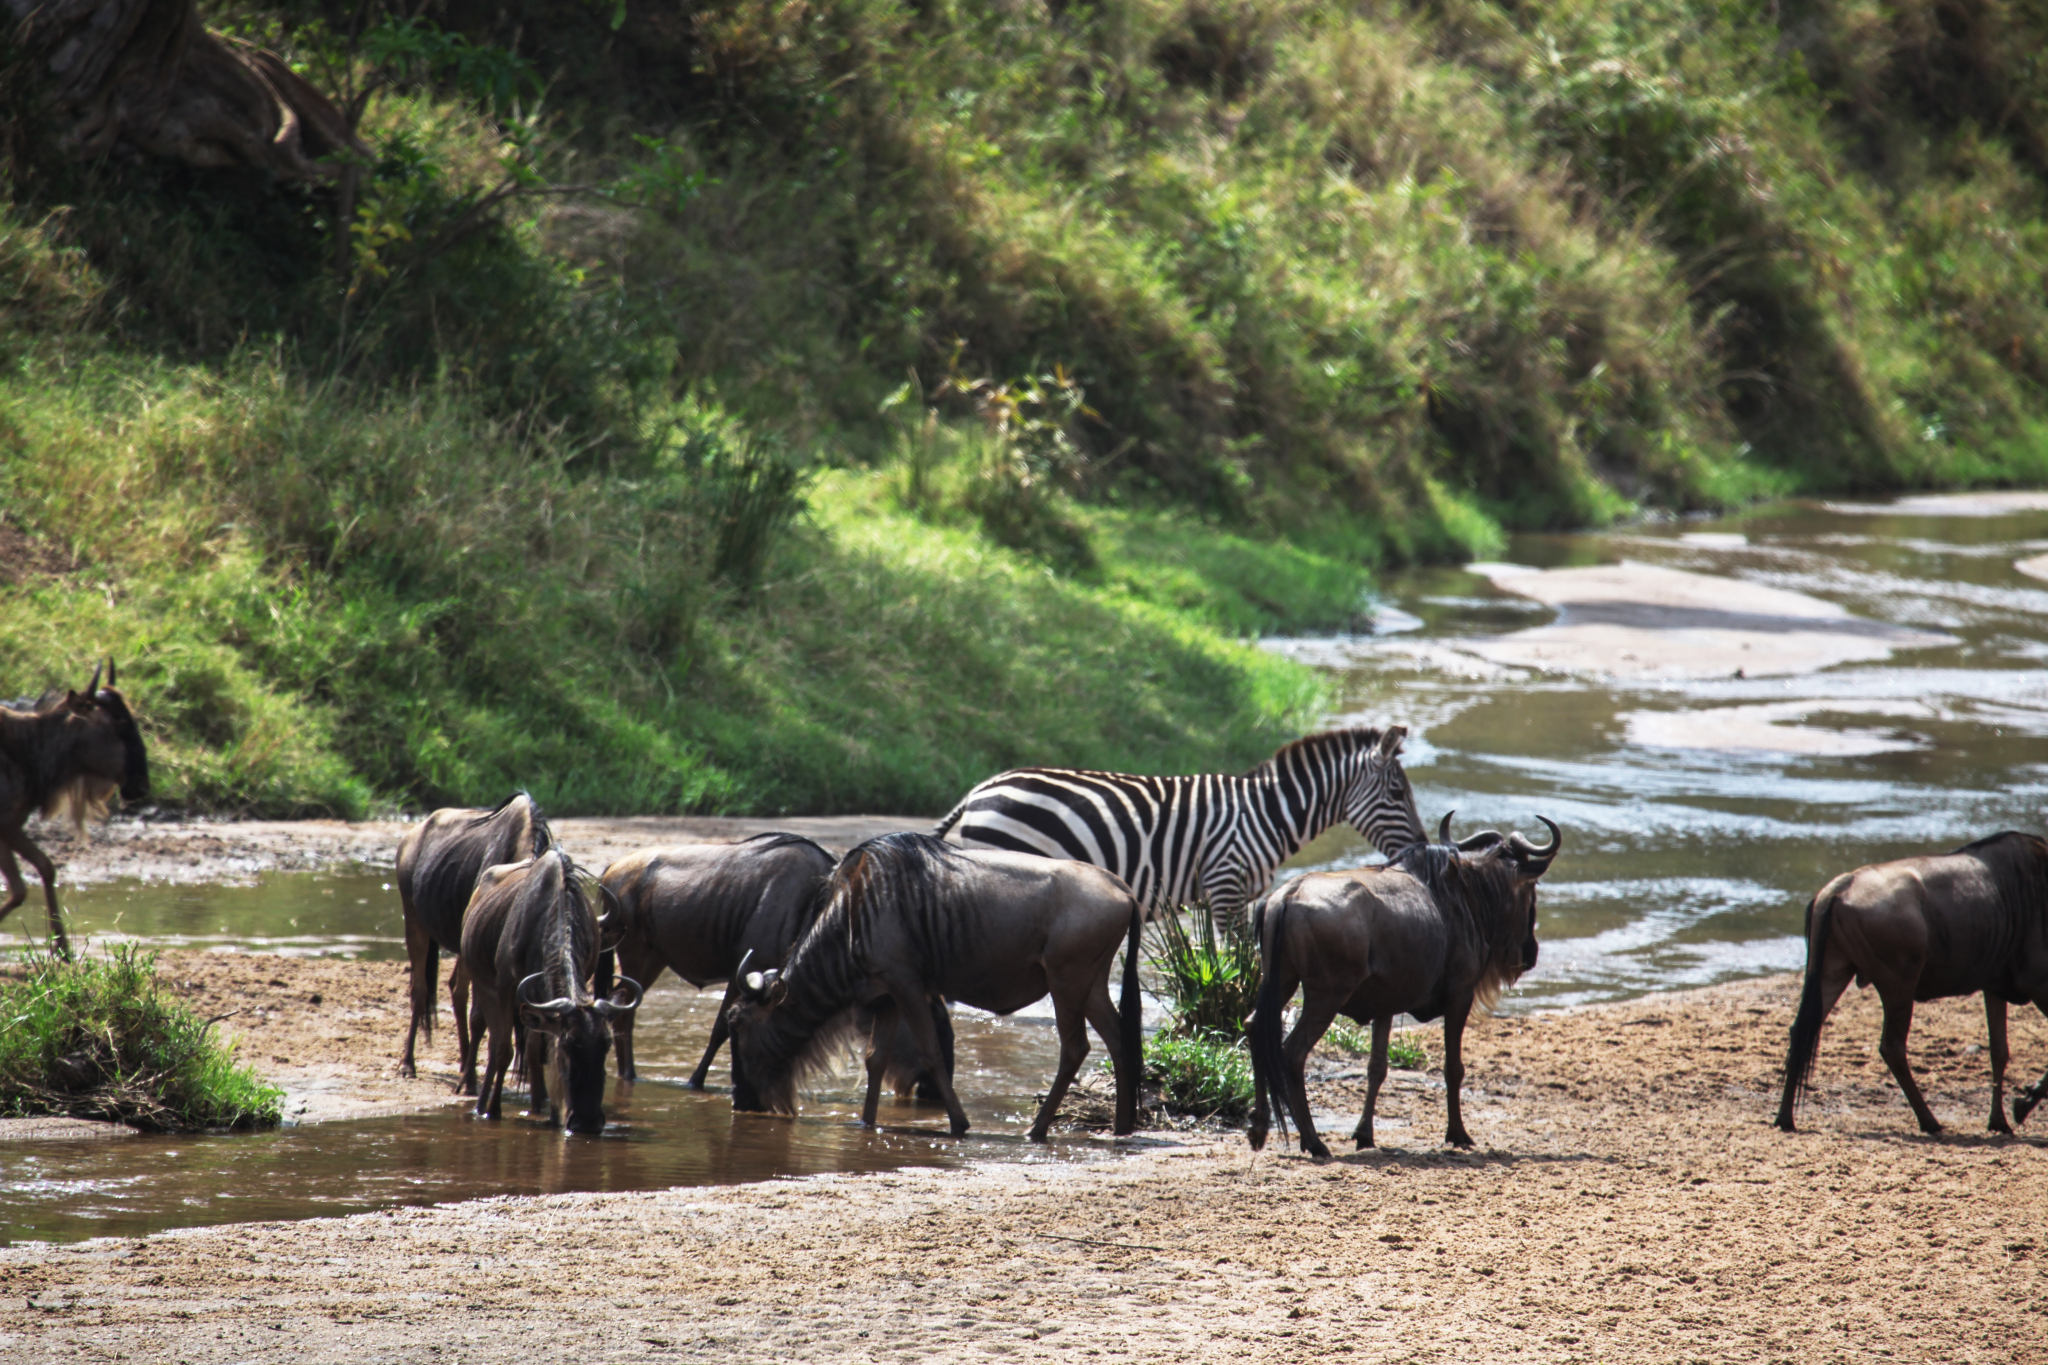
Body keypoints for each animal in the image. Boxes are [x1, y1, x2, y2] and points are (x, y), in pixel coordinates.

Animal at [929, 724, 1425, 916]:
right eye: (1398, 794)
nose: (1421, 846)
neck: (1266, 814)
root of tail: (980, 789)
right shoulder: (1225, 883)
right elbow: (1233, 965)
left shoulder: (1219, 894)